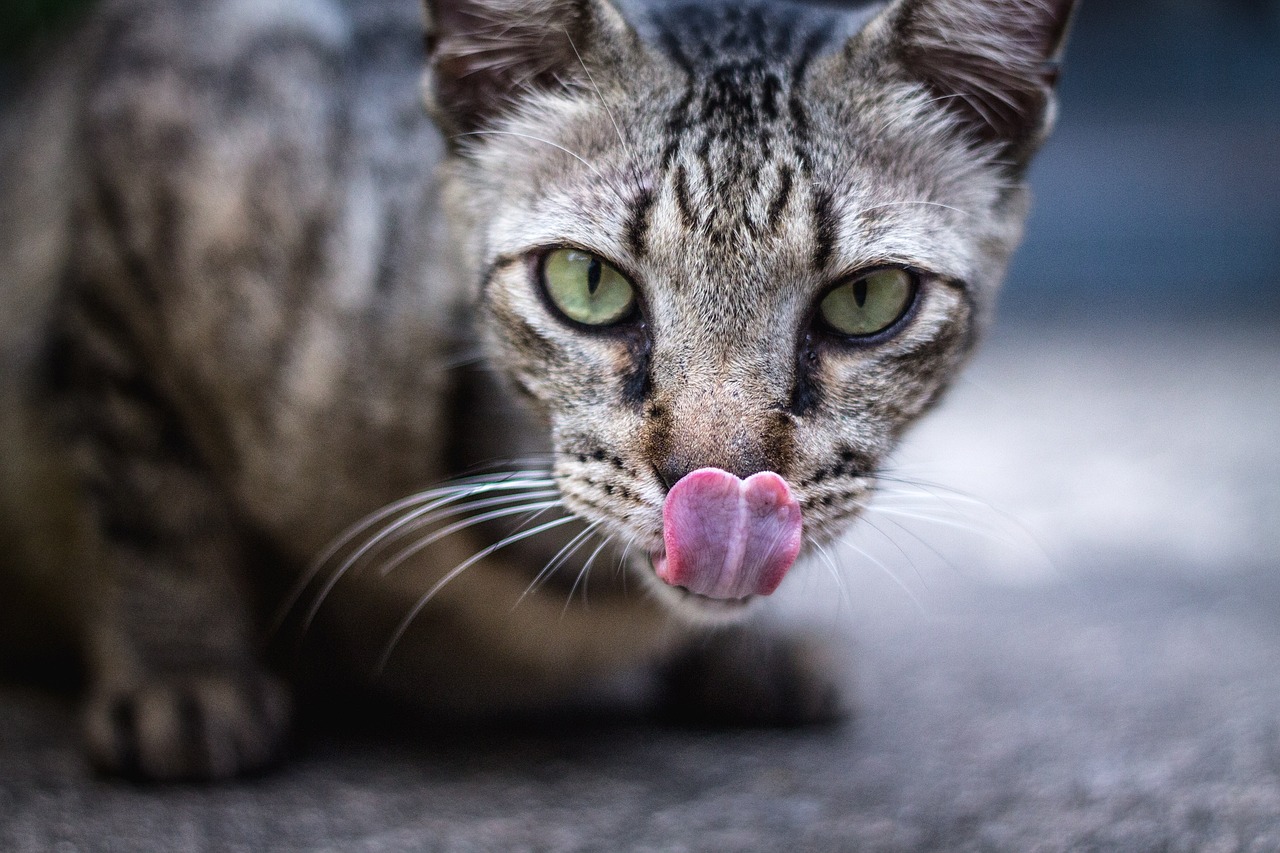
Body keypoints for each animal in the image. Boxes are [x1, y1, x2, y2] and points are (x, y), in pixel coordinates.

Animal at [0, 0, 1080, 778]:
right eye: (586, 283)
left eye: (866, 299)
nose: (723, 487)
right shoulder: (144, 168)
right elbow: (150, 493)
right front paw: (186, 674)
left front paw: (750, 653)